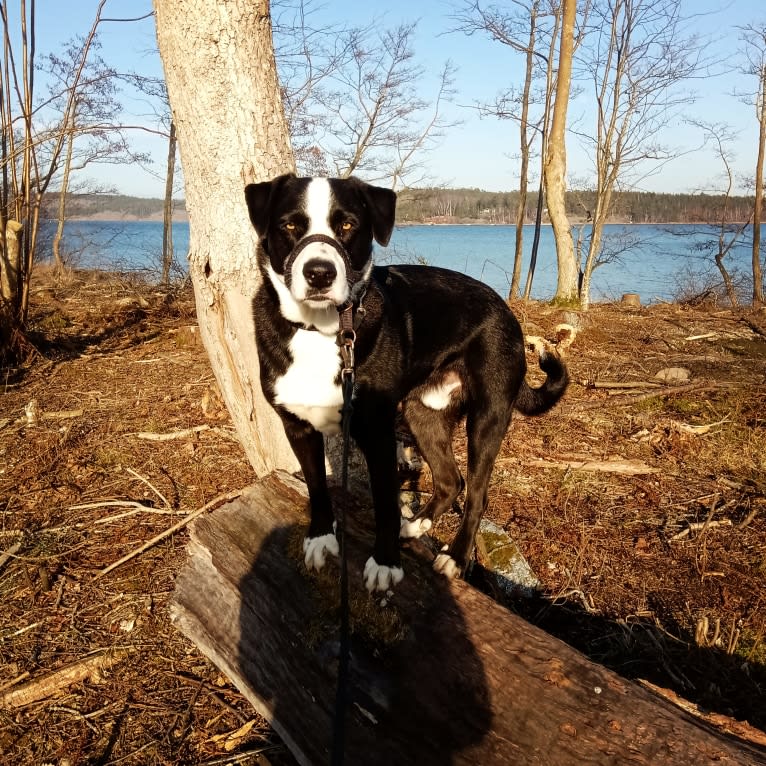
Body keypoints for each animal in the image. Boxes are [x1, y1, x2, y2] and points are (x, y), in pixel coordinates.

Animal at [246, 174, 568, 592]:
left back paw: (454, 556)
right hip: (423, 413)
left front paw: (385, 563)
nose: (319, 273)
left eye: (347, 225)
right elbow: (317, 485)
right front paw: (320, 537)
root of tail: (508, 312)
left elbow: (385, 502)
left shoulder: (377, 433)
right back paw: (415, 525)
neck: (319, 329)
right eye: (289, 225)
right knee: (450, 481)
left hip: (488, 416)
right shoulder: (297, 426)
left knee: (477, 493)